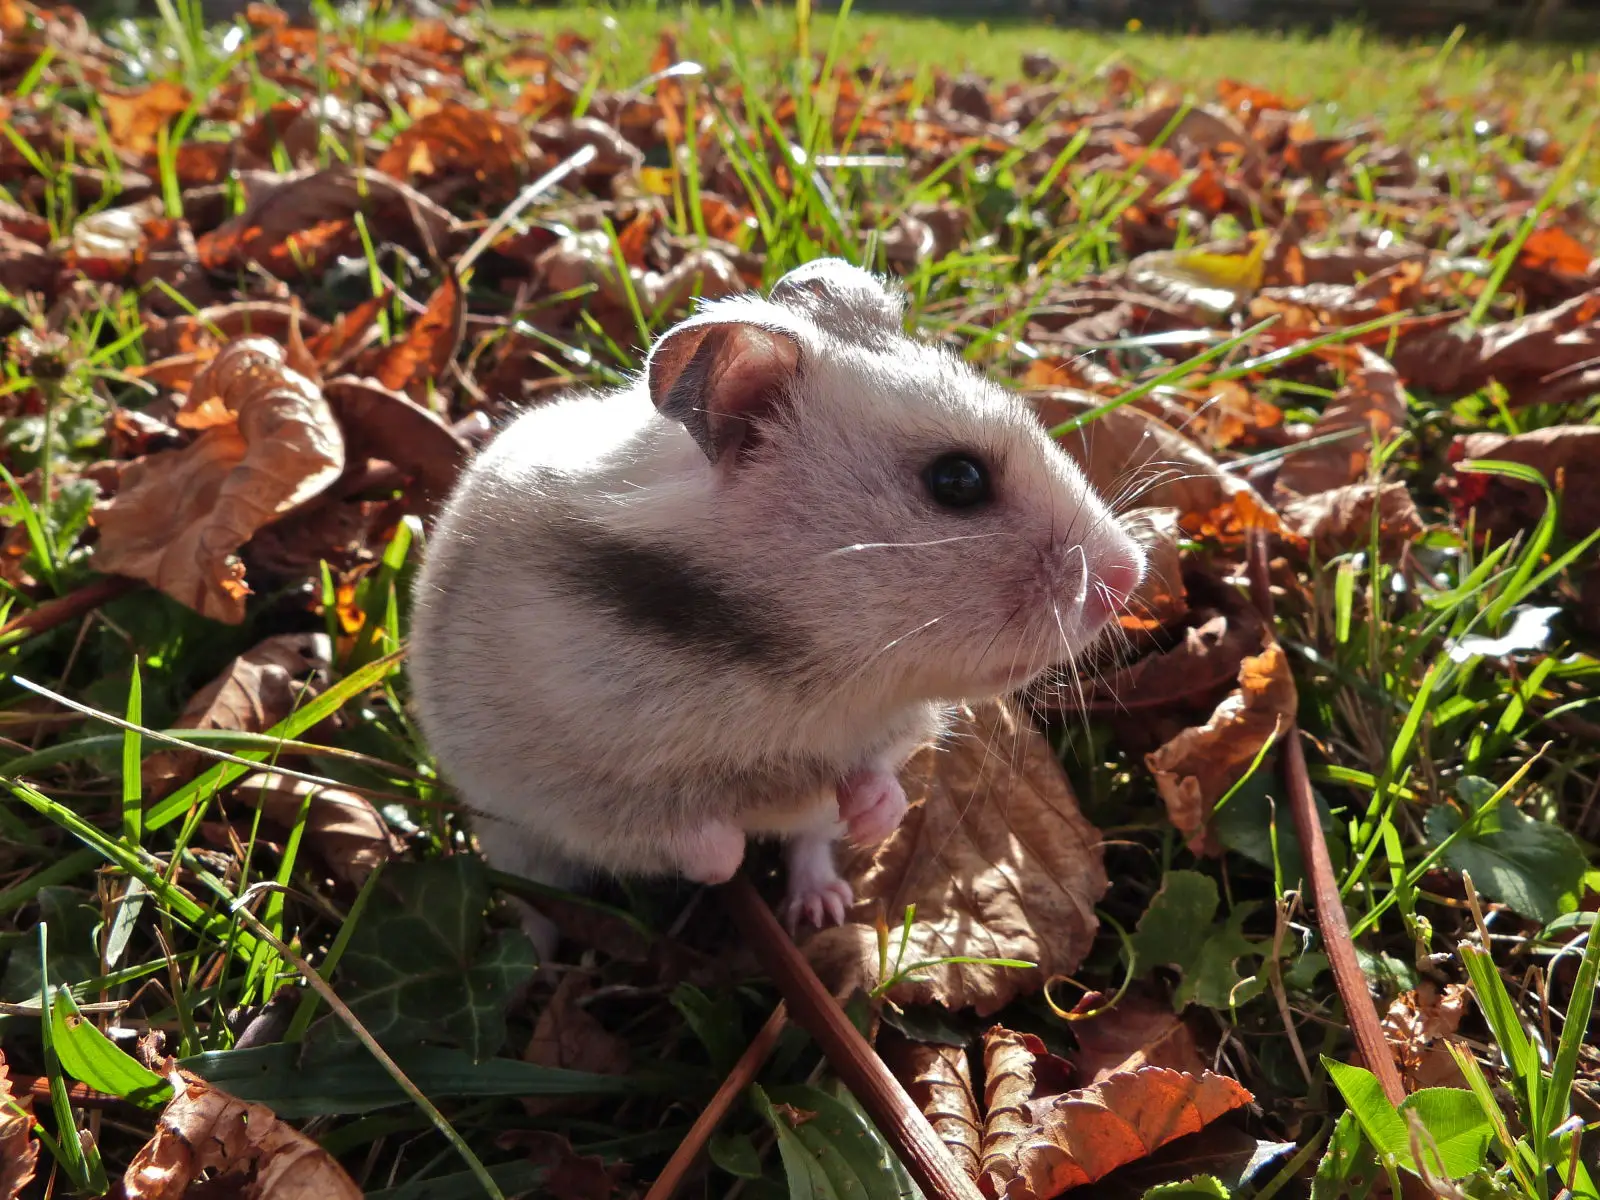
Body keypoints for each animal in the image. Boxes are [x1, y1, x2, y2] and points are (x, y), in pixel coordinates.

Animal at [407, 258, 1146, 955]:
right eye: (957, 480)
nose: (1129, 576)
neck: (799, 666)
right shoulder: (580, 796)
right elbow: (691, 838)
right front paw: (731, 852)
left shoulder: (889, 728)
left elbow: (874, 780)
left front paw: (871, 815)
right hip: (511, 841)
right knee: (532, 897)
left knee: (809, 848)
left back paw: (821, 904)